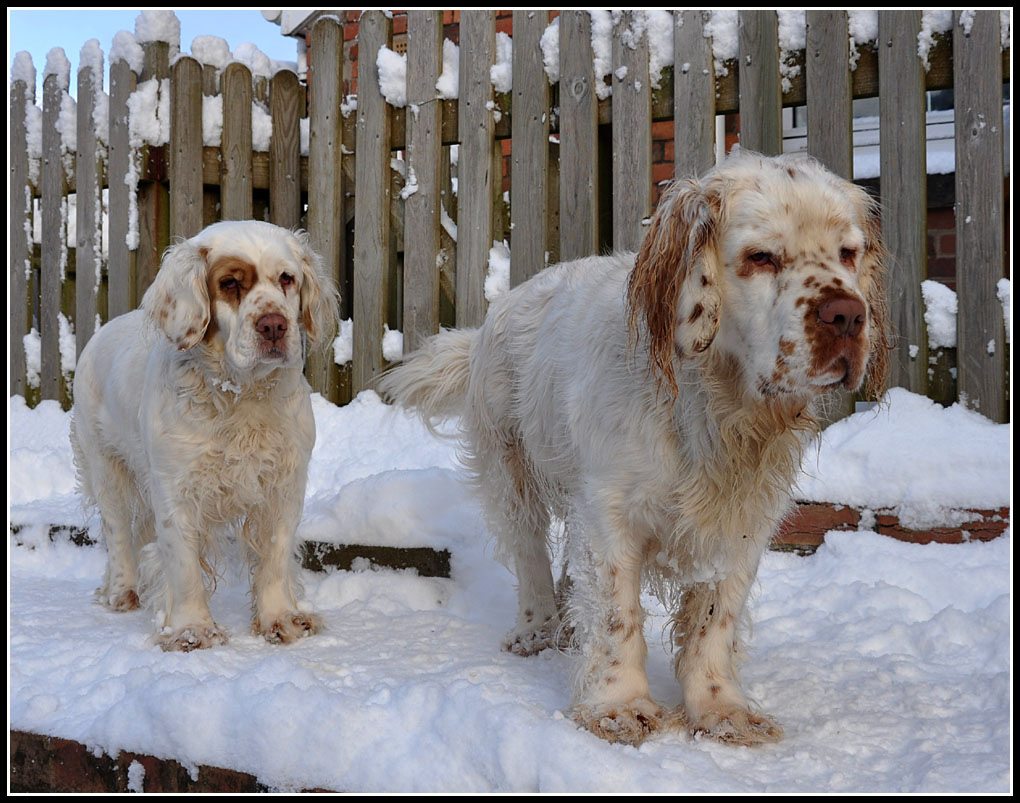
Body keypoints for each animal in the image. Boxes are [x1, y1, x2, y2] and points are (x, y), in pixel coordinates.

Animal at [69, 219, 338, 653]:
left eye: (287, 278)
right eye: (229, 283)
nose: (274, 326)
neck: (241, 395)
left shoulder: (283, 484)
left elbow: (275, 556)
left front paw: (280, 619)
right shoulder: (174, 489)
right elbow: (183, 566)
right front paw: (191, 630)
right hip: (106, 467)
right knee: (117, 534)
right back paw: (122, 592)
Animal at [379, 152, 889, 746]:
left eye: (848, 253)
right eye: (760, 257)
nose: (846, 315)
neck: (711, 406)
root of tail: (496, 312)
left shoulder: (742, 517)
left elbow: (715, 617)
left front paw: (722, 710)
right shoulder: (609, 513)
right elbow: (616, 615)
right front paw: (618, 707)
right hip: (513, 471)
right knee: (529, 554)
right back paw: (537, 630)